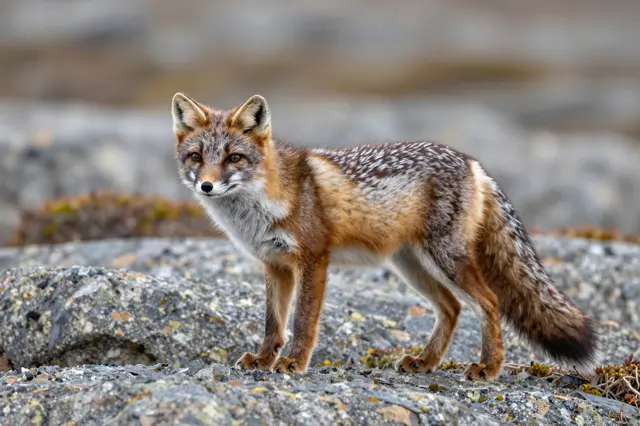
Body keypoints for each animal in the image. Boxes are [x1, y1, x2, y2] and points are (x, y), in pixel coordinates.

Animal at [171, 92, 599, 381]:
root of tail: (471, 161)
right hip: (412, 266)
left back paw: (488, 367)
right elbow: (273, 325)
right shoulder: (275, 265)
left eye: (233, 158)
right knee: (452, 308)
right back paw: (425, 362)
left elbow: (304, 321)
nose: (206, 186)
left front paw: (294, 362)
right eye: (196, 157)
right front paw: (263, 360)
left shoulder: (313, 259)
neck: (261, 206)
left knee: (489, 302)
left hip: (446, 259)